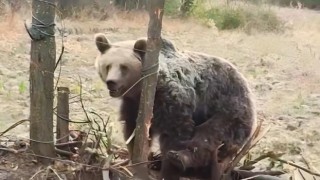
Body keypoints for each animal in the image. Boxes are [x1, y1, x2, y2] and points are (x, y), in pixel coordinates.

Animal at [94, 33, 256, 179]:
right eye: (107, 66)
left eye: (124, 67)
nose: (111, 82)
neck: (146, 88)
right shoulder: (134, 104)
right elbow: (133, 129)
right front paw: (137, 159)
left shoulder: (172, 98)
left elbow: (176, 132)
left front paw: (169, 169)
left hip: (230, 107)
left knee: (211, 134)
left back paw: (181, 158)